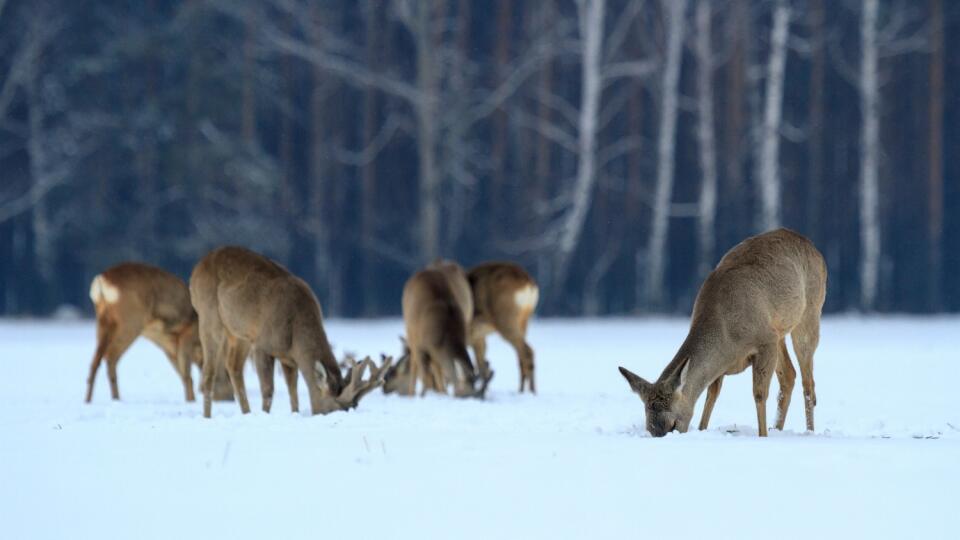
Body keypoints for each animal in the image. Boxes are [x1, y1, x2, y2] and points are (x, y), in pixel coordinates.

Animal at [85, 262, 233, 404]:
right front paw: (191, 401)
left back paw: (89, 399)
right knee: (110, 356)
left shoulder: (169, 347)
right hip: (131, 320)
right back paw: (116, 398)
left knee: (96, 360)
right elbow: (187, 374)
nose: (230, 398)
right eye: (227, 373)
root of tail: (101, 280)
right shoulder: (187, 333)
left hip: (103, 320)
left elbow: (182, 373)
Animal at [188, 246, 390, 418]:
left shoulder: (288, 357)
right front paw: (265, 415)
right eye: (334, 408)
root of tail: (196, 269)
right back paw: (207, 417)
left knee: (233, 366)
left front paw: (295, 413)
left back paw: (246, 413)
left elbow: (293, 390)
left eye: (352, 407)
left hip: (238, 333)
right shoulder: (262, 344)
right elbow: (268, 390)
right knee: (209, 372)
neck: (296, 332)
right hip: (209, 315)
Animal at [382, 260, 492, 398]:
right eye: (464, 394)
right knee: (417, 363)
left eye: (393, 375)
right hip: (410, 327)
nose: (384, 388)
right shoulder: (421, 344)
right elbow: (424, 371)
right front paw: (425, 393)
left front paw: (440, 392)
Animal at [470, 262, 540, 392]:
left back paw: (530, 391)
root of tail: (528, 282)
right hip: (523, 321)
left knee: (526, 352)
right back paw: (523, 391)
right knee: (521, 356)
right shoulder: (478, 338)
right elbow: (479, 364)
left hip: (505, 319)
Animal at [620, 230, 828, 436]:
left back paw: (808, 432)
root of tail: (813, 248)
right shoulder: (727, 362)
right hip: (780, 331)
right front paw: (702, 429)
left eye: (673, 423)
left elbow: (759, 393)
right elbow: (711, 394)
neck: (727, 337)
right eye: (648, 428)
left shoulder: (765, 339)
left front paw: (762, 435)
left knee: (808, 382)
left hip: (810, 312)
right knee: (789, 375)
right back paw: (777, 428)